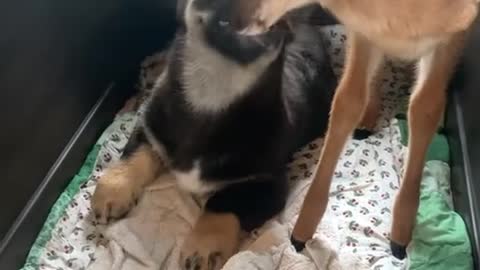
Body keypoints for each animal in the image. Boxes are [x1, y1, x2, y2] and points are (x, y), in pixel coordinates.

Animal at [91, 1, 338, 268]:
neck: (210, 103)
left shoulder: (269, 184)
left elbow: (223, 202)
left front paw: (204, 246)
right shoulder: (151, 126)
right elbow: (134, 154)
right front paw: (112, 190)